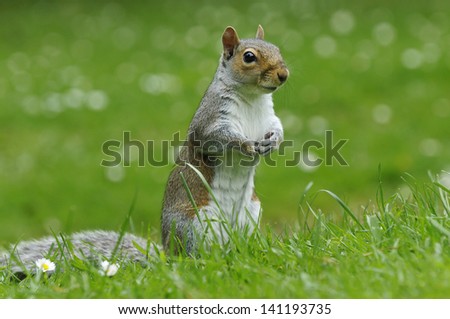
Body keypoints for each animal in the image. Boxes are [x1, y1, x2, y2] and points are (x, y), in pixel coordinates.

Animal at [0, 25, 288, 276]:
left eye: (277, 48)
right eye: (249, 56)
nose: (283, 75)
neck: (252, 98)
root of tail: (166, 254)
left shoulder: (269, 117)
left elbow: (277, 127)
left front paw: (274, 142)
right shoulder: (211, 120)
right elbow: (218, 139)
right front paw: (248, 145)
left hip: (251, 215)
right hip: (192, 225)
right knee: (191, 257)